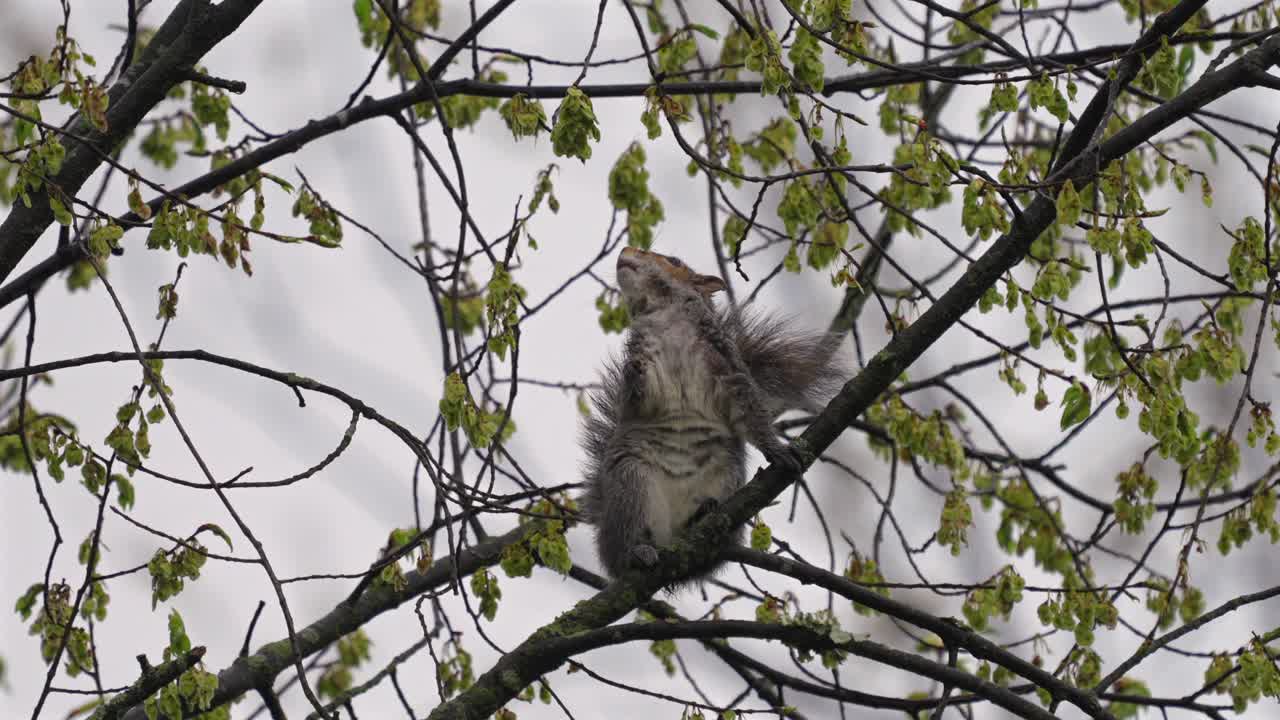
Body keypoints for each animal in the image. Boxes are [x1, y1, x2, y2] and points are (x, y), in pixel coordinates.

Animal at [581, 246, 844, 583]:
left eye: (674, 261)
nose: (626, 250)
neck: (667, 318)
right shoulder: (646, 362)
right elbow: (638, 399)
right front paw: (634, 371)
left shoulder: (726, 366)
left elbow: (749, 411)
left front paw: (778, 451)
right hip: (631, 484)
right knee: (625, 544)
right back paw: (636, 553)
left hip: (727, 474)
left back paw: (702, 516)